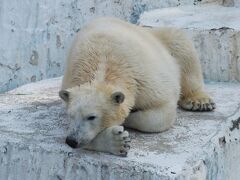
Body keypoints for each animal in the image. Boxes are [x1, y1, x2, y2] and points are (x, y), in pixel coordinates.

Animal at [58, 17, 216, 156]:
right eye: (71, 115)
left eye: (91, 117)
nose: (72, 141)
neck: (103, 63)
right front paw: (115, 141)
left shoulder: (144, 80)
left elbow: (160, 113)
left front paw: (127, 120)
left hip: (162, 39)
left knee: (180, 42)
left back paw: (199, 101)